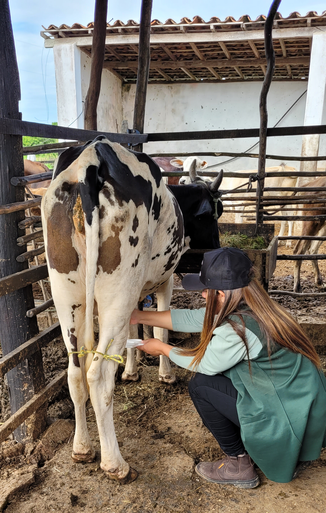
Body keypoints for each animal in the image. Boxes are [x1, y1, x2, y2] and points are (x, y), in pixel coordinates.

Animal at [41, 135, 224, 480]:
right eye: (214, 214)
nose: (217, 251)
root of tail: (91, 158)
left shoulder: (136, 293)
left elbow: (135, 330)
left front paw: (131, 370)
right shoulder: (164, 281)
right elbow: (160, 330)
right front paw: (165, 375)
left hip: (67, 293)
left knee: (75, 372)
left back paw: (82, 449)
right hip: (118, 288)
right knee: (98, 375)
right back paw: (115, 464)